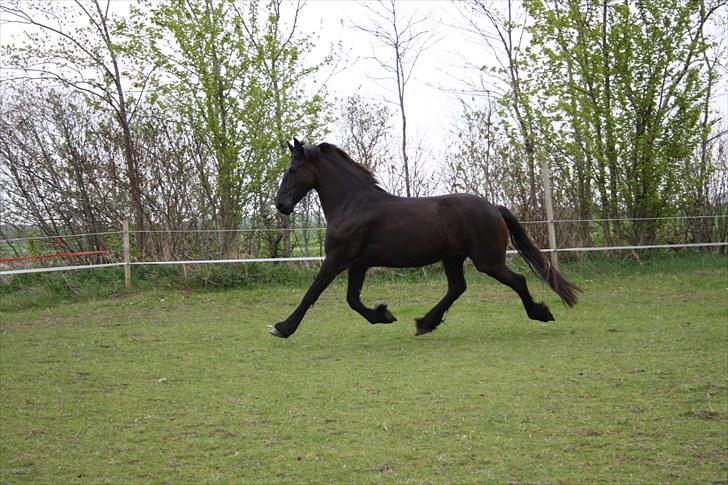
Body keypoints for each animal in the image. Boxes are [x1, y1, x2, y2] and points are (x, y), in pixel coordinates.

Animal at [268, 138, 580, 338]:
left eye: (292, 169)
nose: (281, 204)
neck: (353, 204)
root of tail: (494, 207)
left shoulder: (337, 259)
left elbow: (313, 291)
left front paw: (281, 328)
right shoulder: (358, 263)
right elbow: (352, 299)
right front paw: (384, 315)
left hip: (487, 261)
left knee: (518, 281)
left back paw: (540, 313)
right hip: (453, 258)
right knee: (457, 288)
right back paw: (425, 323)